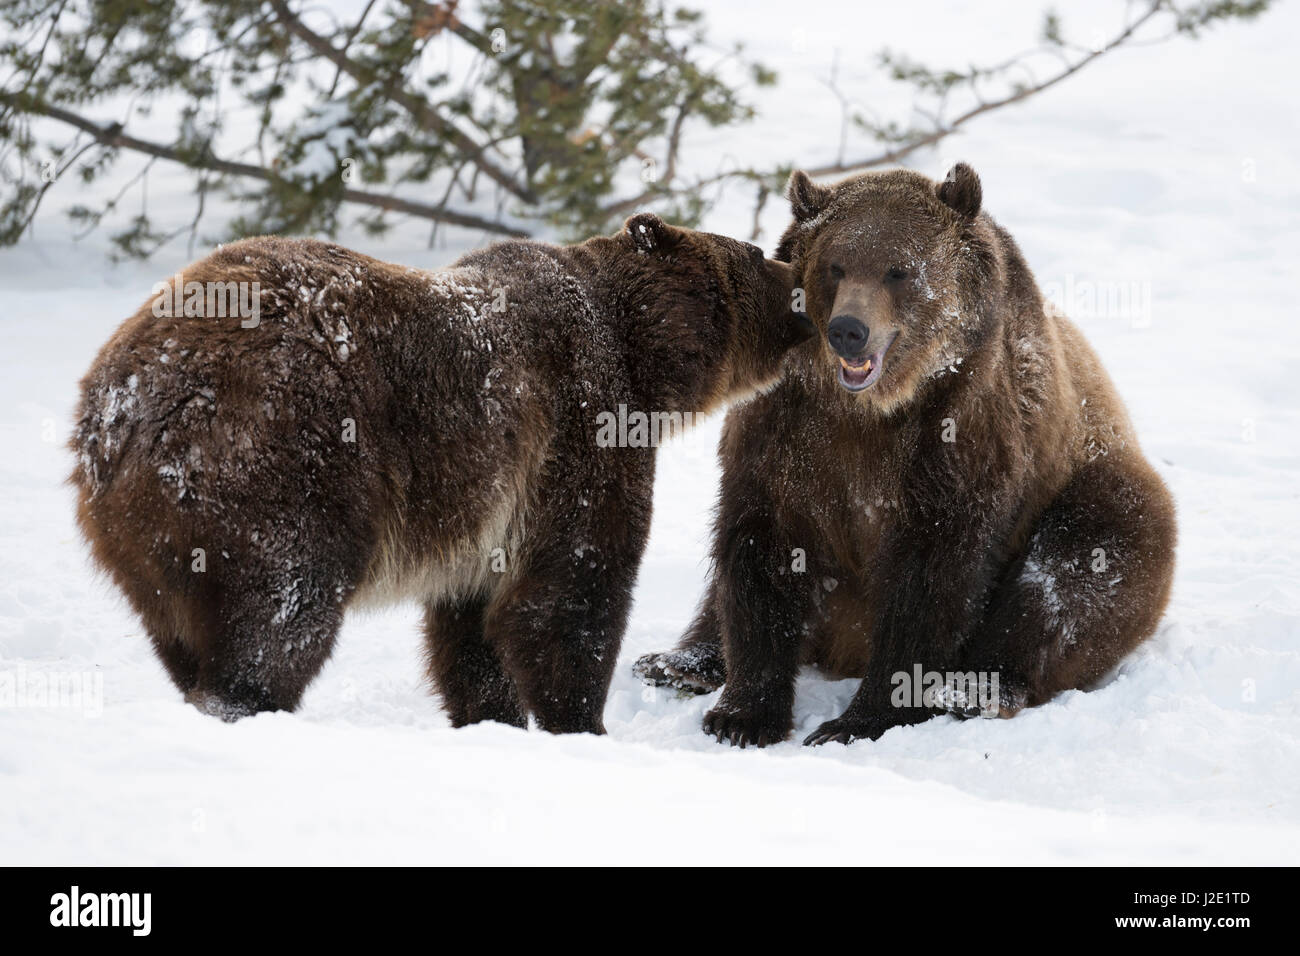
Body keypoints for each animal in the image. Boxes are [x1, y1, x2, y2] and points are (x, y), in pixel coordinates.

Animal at [73, 214, 811, 733]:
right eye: (756, 254)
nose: (802, 291)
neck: (643, 361)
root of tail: (119, 407)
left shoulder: (487, 514)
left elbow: (471, 629)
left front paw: (494, 719)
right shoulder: (578, 426)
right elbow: (570, 589)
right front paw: (580, 722)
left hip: (147, 544)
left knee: (188, 632)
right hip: (282, 457)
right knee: (282, 606)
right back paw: (246, 703)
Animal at [637, 164, 1180, 749]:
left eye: (898, 271)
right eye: (835, 265)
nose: (849, 330)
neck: (872, 410)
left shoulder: (961, 436)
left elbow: (930, 579)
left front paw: (859, 719)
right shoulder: (786, 433)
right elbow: (762, 550)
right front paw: (742, 715)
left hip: (1095, 486)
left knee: (1073, 573)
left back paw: (978, 689)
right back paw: (678, 662)